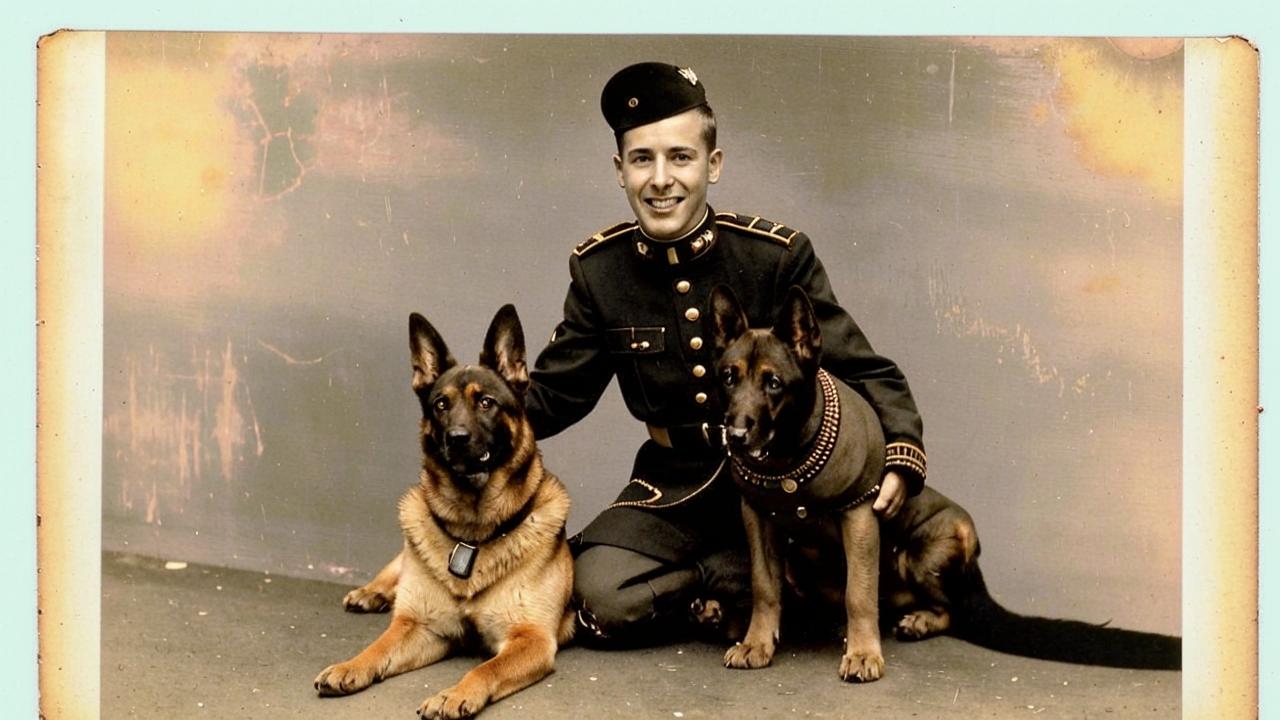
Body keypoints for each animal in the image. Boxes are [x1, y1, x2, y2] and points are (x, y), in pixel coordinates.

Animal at [309, 304, 576, 712]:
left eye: (486, 402)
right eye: (441, 405)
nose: (457, 438)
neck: (473, 532)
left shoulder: (529, 638)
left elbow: (486, 669)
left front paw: (455, 694)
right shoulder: (421, 627)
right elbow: (378, 647)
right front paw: (350, 666)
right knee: (395, 571)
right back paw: (371, 593)